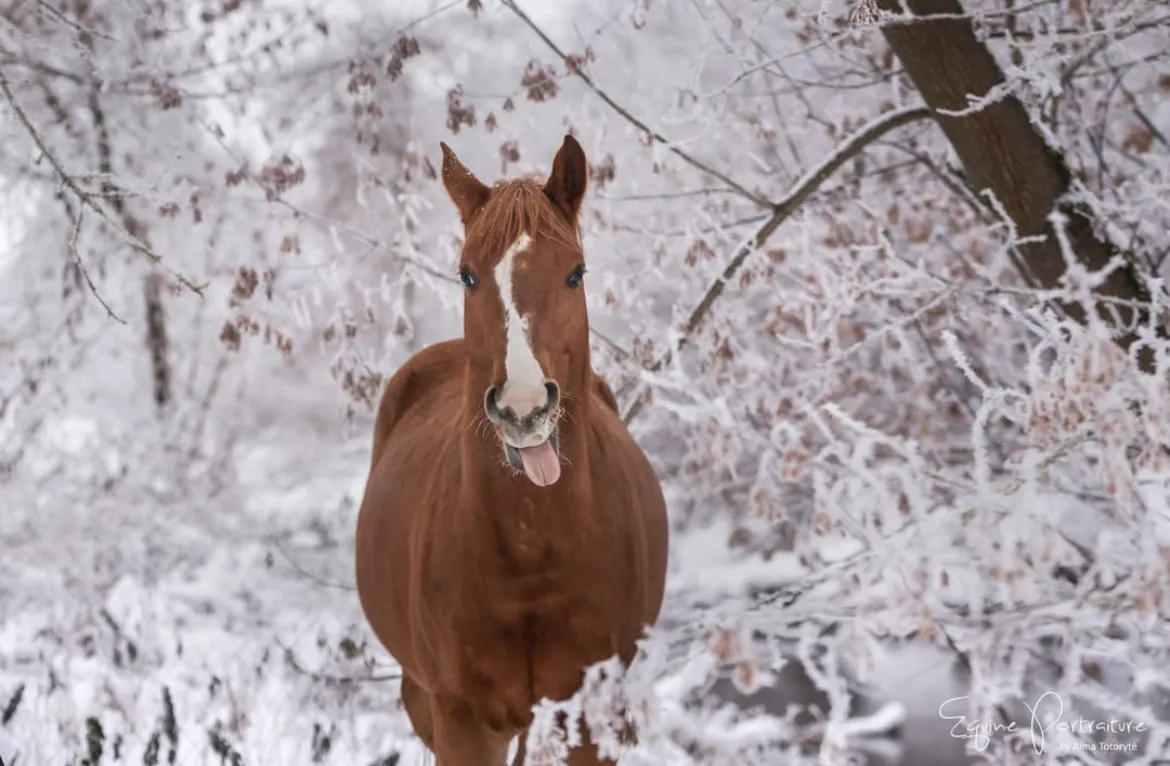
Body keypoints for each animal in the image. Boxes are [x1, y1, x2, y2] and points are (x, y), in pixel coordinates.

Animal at [353, 135, 669, 762]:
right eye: (467, 276)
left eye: (576, 273)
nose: (523, 409)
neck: (531, 557)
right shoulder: (463, 722)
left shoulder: (591, 717)